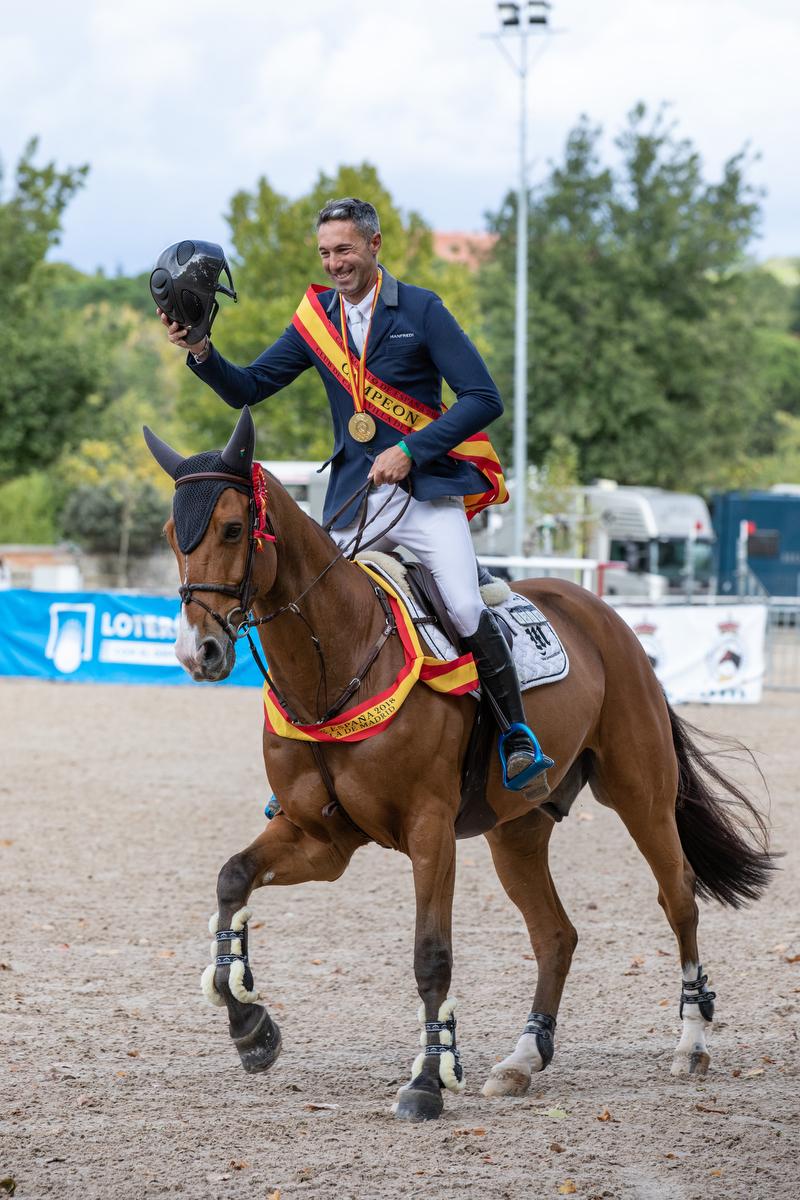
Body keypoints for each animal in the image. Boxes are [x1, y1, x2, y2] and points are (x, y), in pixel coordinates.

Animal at [145, 410, 777, 1123]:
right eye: (171, 535)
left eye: (231, 528)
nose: (198, 651)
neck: (335, 662)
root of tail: (607, 618)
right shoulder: (321, 838)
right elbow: (232, 879)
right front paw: (250, 1026)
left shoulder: (429, 830)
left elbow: (431, 955)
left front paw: (427, 1079)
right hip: (517, 830)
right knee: (556, 935)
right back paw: (523, 1059)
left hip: (640, 795)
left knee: (679, 899)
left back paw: (691, 1042)